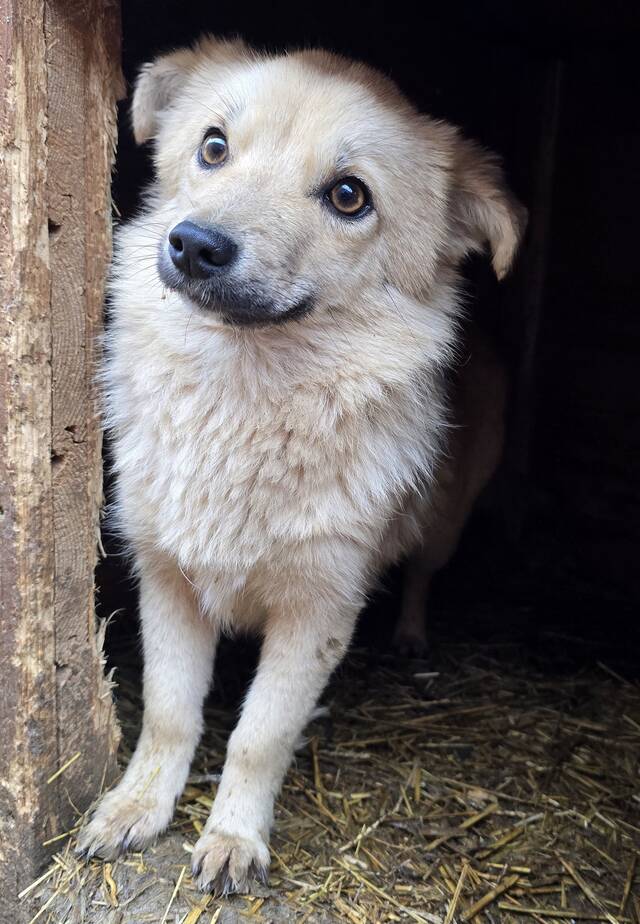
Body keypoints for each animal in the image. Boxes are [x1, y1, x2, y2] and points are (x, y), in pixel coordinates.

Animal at [77, 36, 526, 894]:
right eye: (213, 147)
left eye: (350, 196)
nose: (195, 244)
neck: (242, 400)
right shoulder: (166, 577)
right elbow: (170, 713)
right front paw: (136, 808)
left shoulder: (319, 612)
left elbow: (259, 736)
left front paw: (232, 838)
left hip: (445, 526)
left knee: (423, 574)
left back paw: (412, 634)